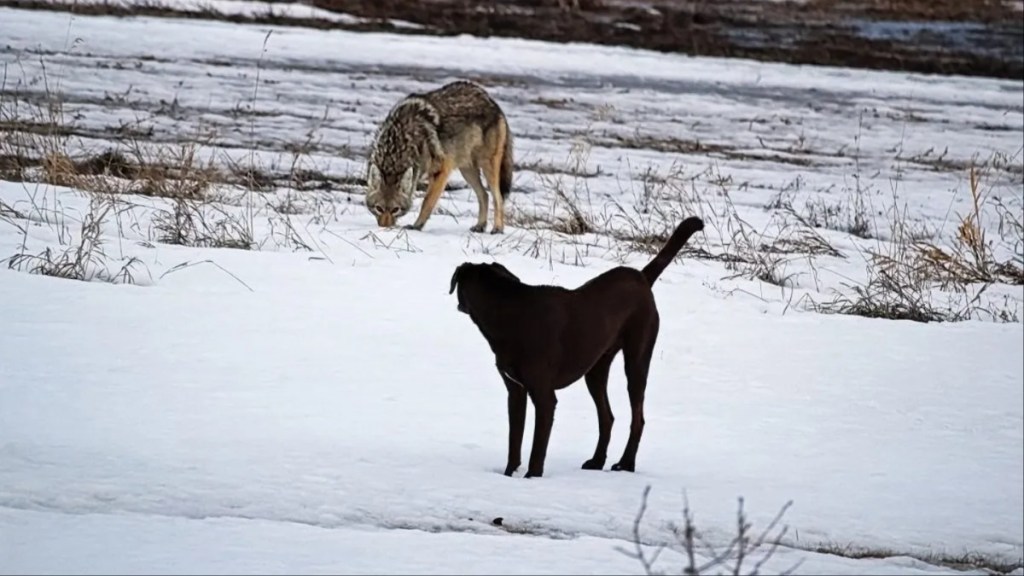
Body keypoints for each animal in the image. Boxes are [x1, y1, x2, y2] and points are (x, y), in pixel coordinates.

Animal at [448, 215, 704, 475]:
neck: (507, 311)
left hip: (637, 358)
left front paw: (532, 477)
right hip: (596, 368)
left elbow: (537, 449)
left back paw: (626, 463)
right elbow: (515, 442)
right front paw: (509, 474)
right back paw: (597, 461)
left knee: (637, 418)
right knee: (607, 417)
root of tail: (641, 277)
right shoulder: (516, 391)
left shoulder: (544, 396)